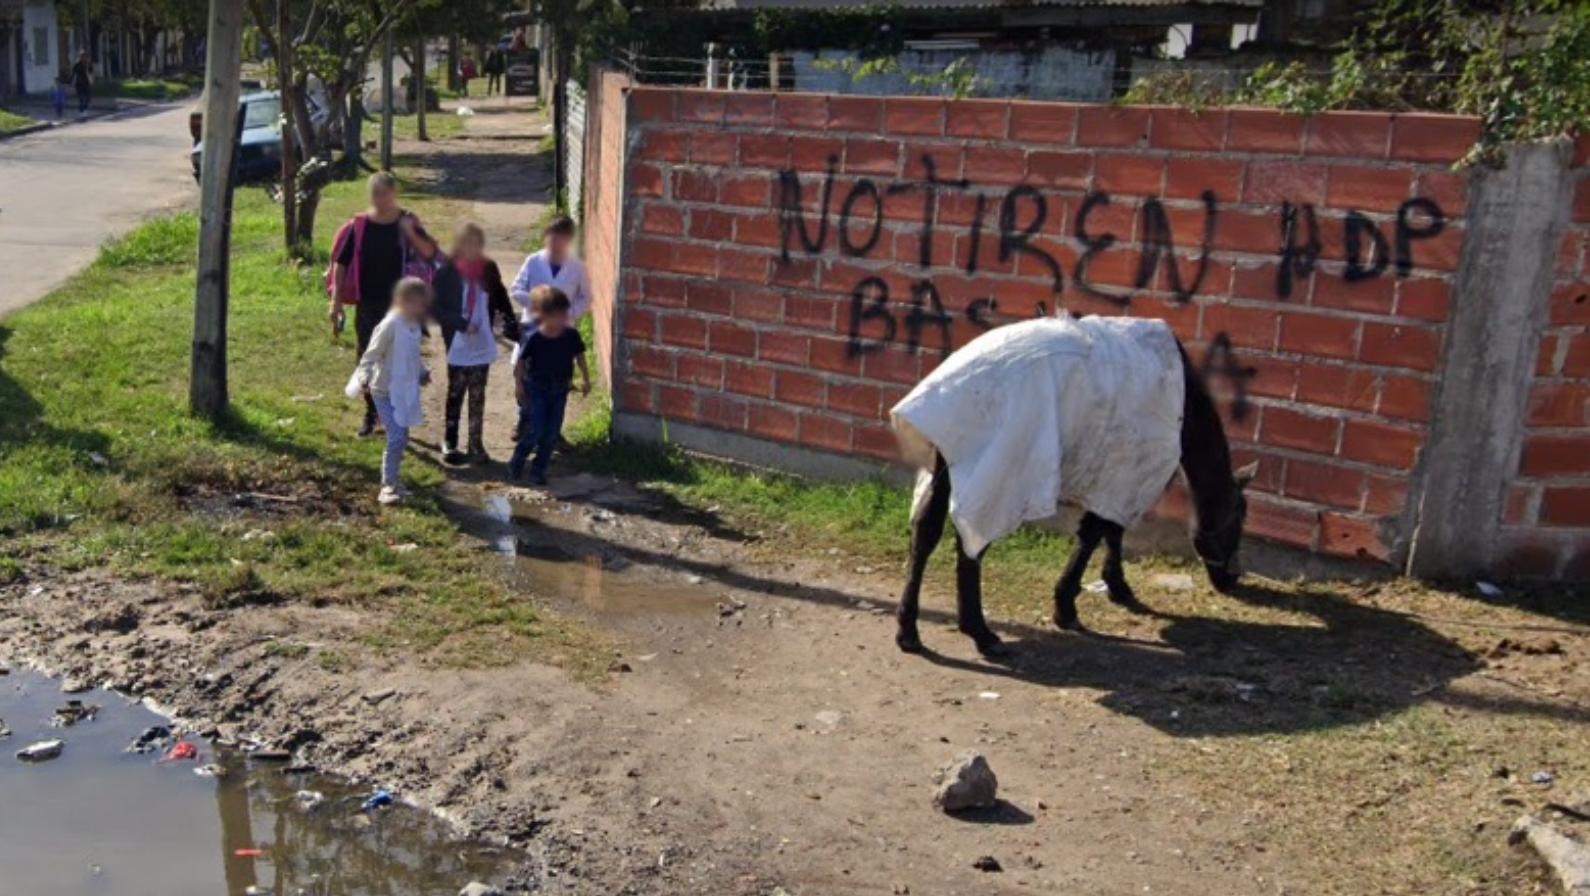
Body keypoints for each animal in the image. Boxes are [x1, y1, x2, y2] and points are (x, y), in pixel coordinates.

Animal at [896, 316, 1252, 657]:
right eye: (1238, 519)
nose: (1232, 578)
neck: (1186, 408)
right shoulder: (1124, 474)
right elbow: (1096, 532)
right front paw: (1067, 606)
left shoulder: (1116, 480)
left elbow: (1110, 530)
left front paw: (1116, 586)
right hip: (1000, 473)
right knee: (971, 543)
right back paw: (981, 634)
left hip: (949, 462)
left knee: (925, 532)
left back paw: (909, 631)